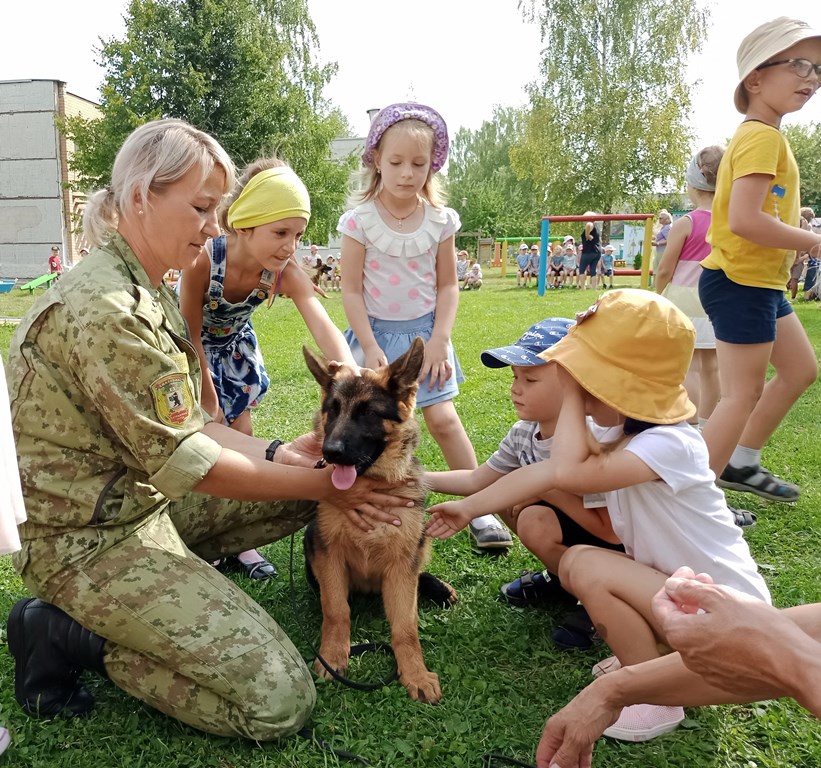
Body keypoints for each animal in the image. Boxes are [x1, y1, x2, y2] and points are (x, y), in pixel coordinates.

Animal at [302, 340, 454, 704]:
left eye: (368, 412)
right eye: (333, 410)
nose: (330, 452)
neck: (371, 486)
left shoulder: (401, 565)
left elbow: (405, 627)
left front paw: (414, 673)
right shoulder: (328, 557)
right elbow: (336, 610)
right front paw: (333, 656)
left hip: (420, 544)